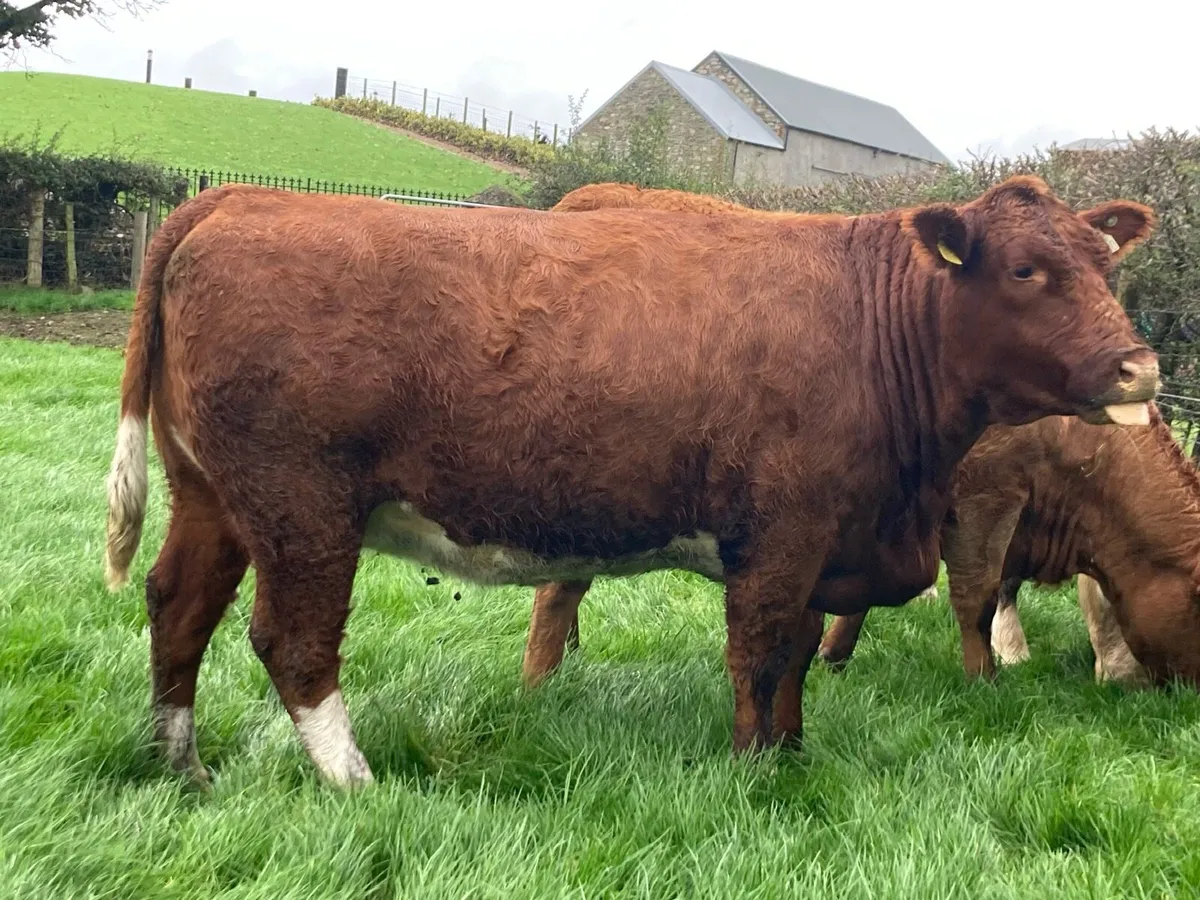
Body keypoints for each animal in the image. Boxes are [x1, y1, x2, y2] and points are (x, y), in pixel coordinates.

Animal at [521, 182, 1156, 689]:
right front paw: (992, 673)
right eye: (1025, 269)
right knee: (559, 588)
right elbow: (978, 593)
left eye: (1104, 268)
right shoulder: (980, 499)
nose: (1140, 368)